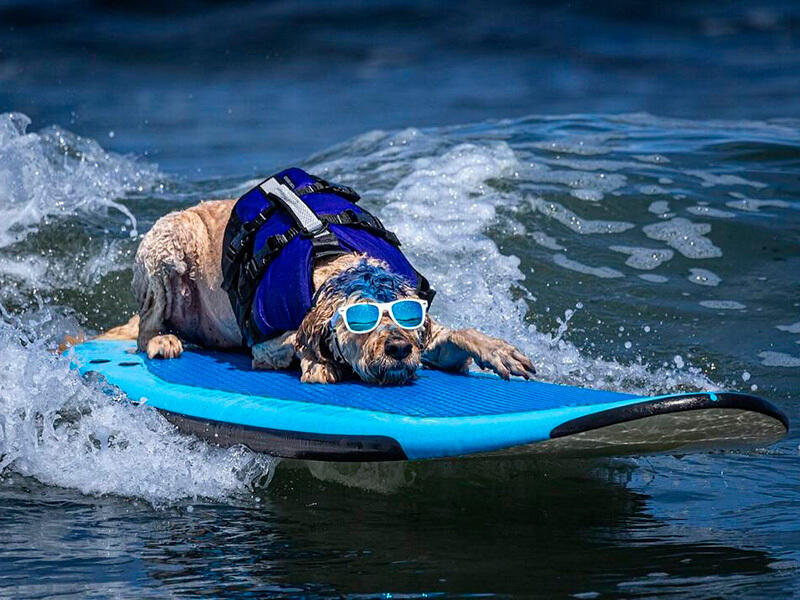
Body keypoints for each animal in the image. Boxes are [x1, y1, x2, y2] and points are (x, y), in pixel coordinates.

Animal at [100, 197, 536, 384]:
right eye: (360, 321)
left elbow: (456, 336)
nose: (398, 349)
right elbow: (295, 337)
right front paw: (318, 362)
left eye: (407, 317)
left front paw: (497, 350)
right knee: (146, 329)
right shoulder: (263, 346)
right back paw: (162, 340)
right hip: (168, 243)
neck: (335, 257)